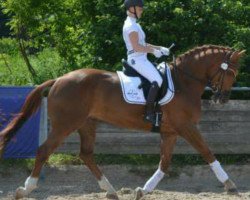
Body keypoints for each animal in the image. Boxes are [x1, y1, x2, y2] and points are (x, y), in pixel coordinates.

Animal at [0, 44, 245, 199]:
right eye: (232, 73)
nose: (222, 99)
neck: (184, 81)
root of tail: (59, 79)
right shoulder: (186, 127)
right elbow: (207, 152)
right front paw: (230, 185)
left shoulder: (170, 132)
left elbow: (164, 163)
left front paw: (143, 190)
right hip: (65, 125)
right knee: (44, 151)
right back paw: (25, 189)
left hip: (87, 124)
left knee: (86, 154)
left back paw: (110, 190)